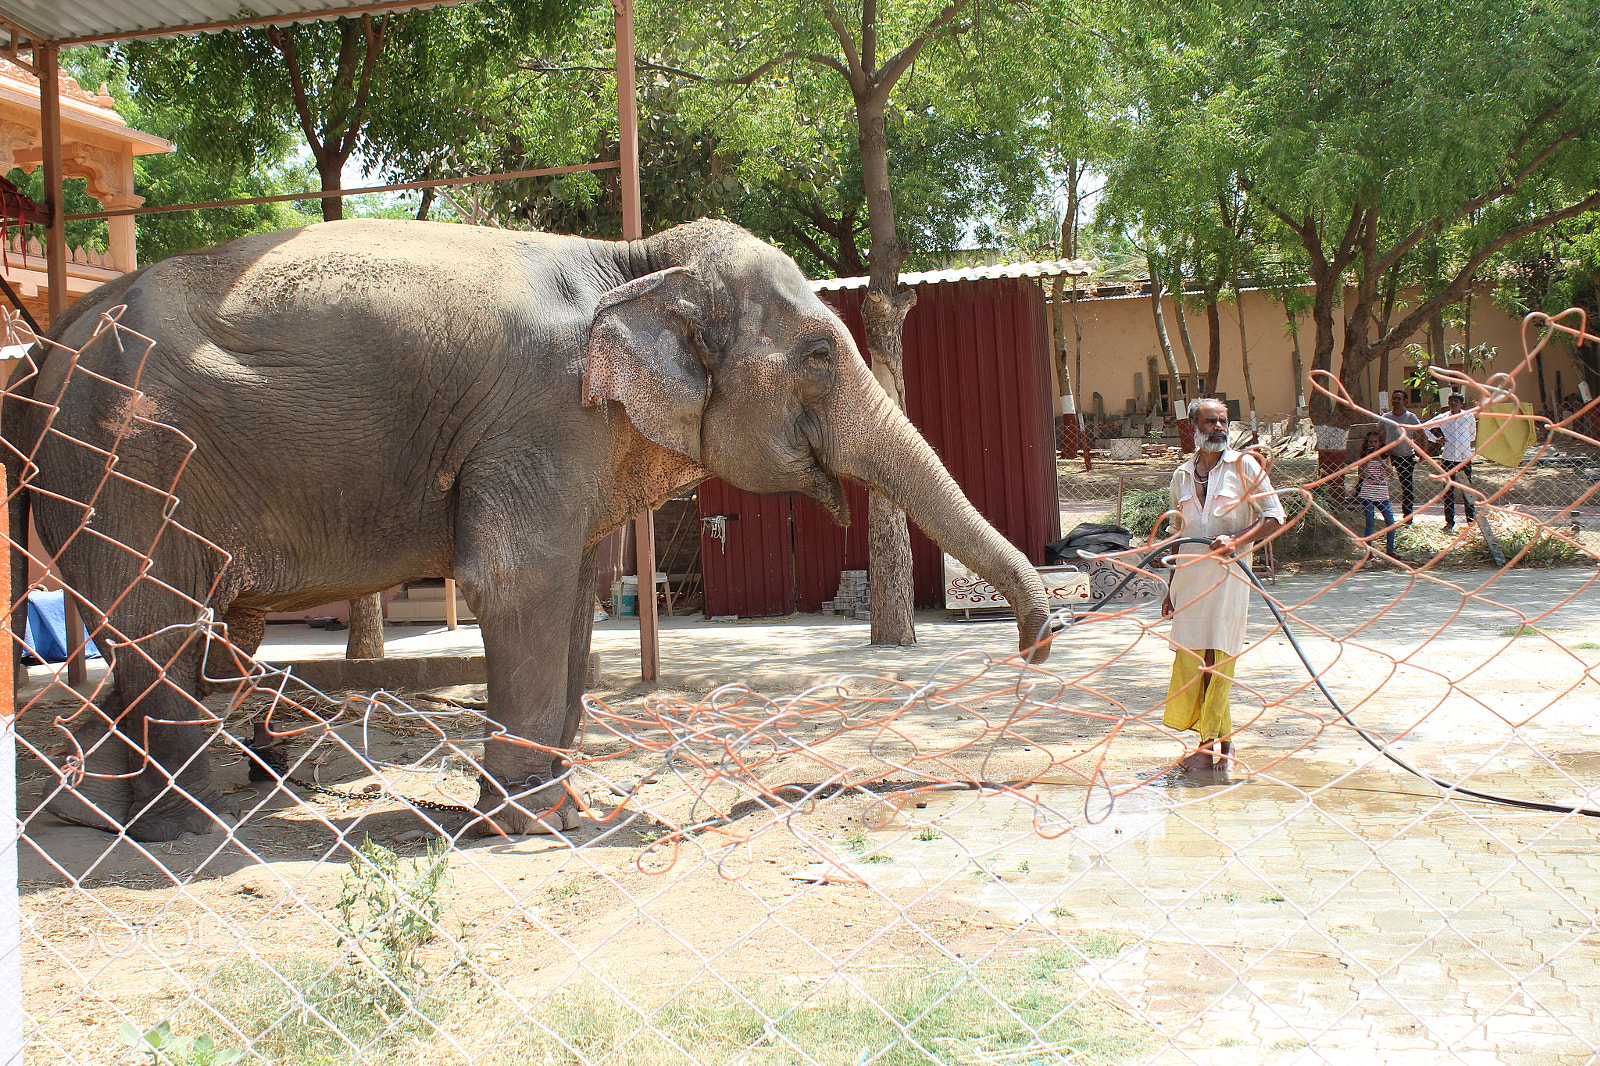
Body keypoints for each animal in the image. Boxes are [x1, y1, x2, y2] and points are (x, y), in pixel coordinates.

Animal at [6, 218, 1053, 842]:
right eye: (821, 353)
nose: (1038, 641)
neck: (632, 258)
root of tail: (47, 346)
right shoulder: (538, 417)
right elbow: (516, 579)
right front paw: (517, 826)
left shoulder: (583, 435)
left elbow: (580, 587)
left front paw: (562, 805)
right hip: (127, 461)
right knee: (161, 624)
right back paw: (186, 829)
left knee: (179, 634)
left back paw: (133, 813)